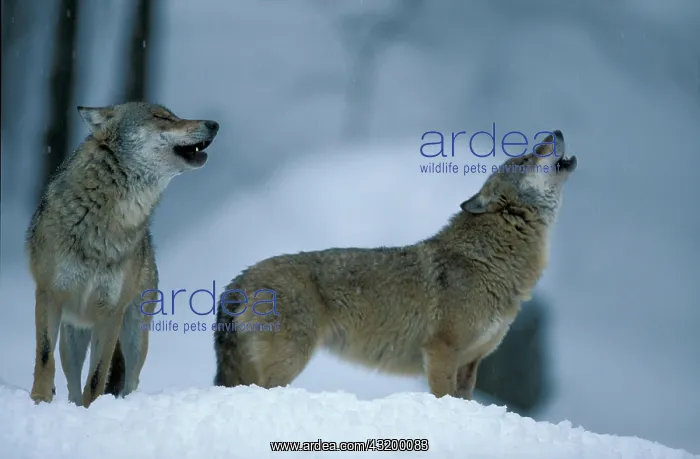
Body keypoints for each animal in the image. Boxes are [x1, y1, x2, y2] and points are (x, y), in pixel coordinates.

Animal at [27, 101, 219, 408]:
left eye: (172, 115)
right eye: (162, 117)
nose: (214, 124)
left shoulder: (111, 312)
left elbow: (97, 376)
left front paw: (93, 410)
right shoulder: (48, 294)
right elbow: (45, 356)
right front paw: (40, 400)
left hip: (134, 336)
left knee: (130, 380)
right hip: (73, 336)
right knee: (71, 381)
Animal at [213, 130, 576, 400]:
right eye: (528, 157)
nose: (557, 131)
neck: (490, 259)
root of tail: (239, 279)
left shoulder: (471, 363)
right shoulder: (441, 351)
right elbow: (443, 396)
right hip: (290, 360)